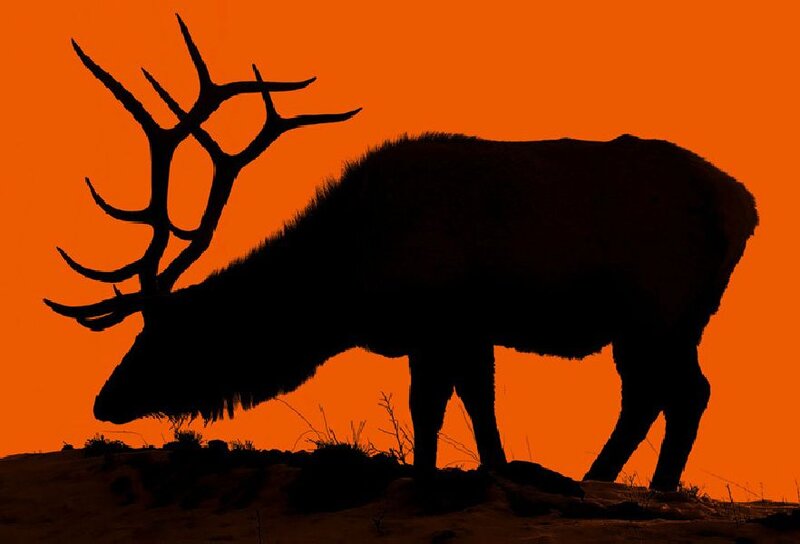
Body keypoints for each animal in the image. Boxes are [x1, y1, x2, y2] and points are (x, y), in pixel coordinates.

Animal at [46, 15, 758, 492]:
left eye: (163, 334)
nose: (104, 400)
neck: (344, 286)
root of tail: (742, 206)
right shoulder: (467, 330)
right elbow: (476, 406)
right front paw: (496, 470)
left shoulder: (437, 321)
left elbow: (432, 407)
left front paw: (436, 476)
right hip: (675, 318)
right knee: (664, 395)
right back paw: (611, 479)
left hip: (655, 309)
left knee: (675, 393)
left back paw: (628, 483)